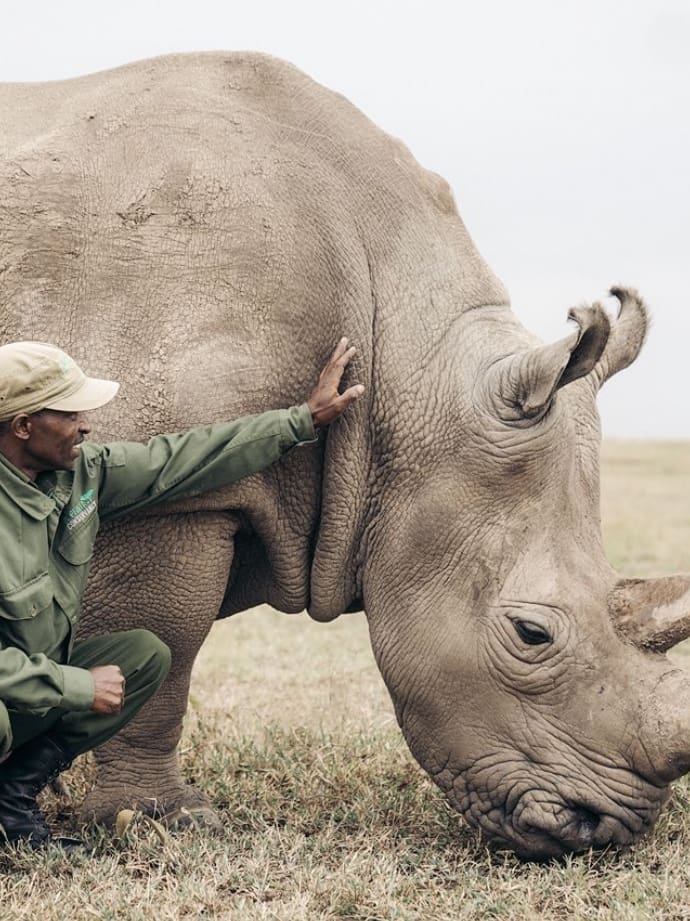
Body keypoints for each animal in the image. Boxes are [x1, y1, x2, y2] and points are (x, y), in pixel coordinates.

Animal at [1, 51, 689, 860]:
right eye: (530, 634)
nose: (602, 832)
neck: (407, 361)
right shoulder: (172, 500)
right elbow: (168, 644)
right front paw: (160, 819)